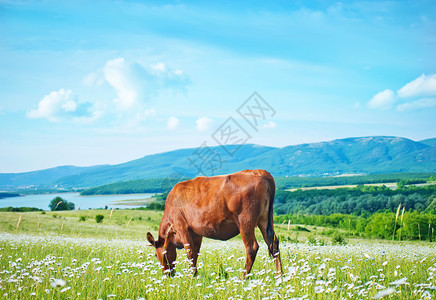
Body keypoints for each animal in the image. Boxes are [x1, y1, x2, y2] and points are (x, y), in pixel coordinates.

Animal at [146, 169, 282, 276]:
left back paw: (243, 277)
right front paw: (195, 275)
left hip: (245, 222)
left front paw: (191, 277)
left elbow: (190, 253)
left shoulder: (182, 228)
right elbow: (195, 253)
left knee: (252, 247)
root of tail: (259, 172)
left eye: (157, 255)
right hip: (265, 220)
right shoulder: (197, 234)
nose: (167, 274)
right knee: (274, 243)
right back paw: (279, 275)